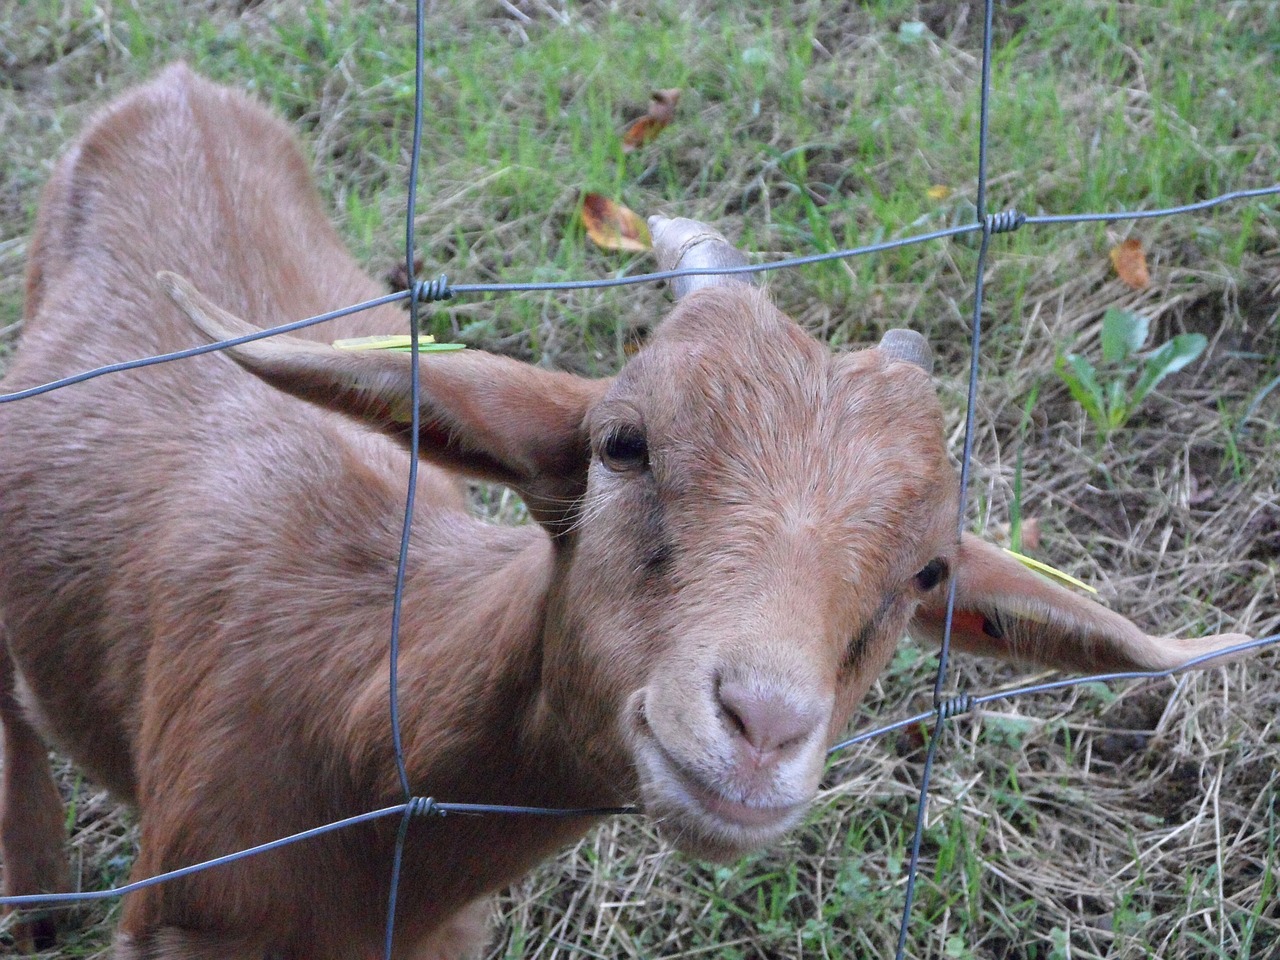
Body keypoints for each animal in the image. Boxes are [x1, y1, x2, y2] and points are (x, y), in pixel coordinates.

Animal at [0, 64, 1254, 957]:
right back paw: (39, 896)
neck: (354, 701)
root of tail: (174, 84)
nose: (759, 730)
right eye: (622, 444)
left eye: (927, 573)